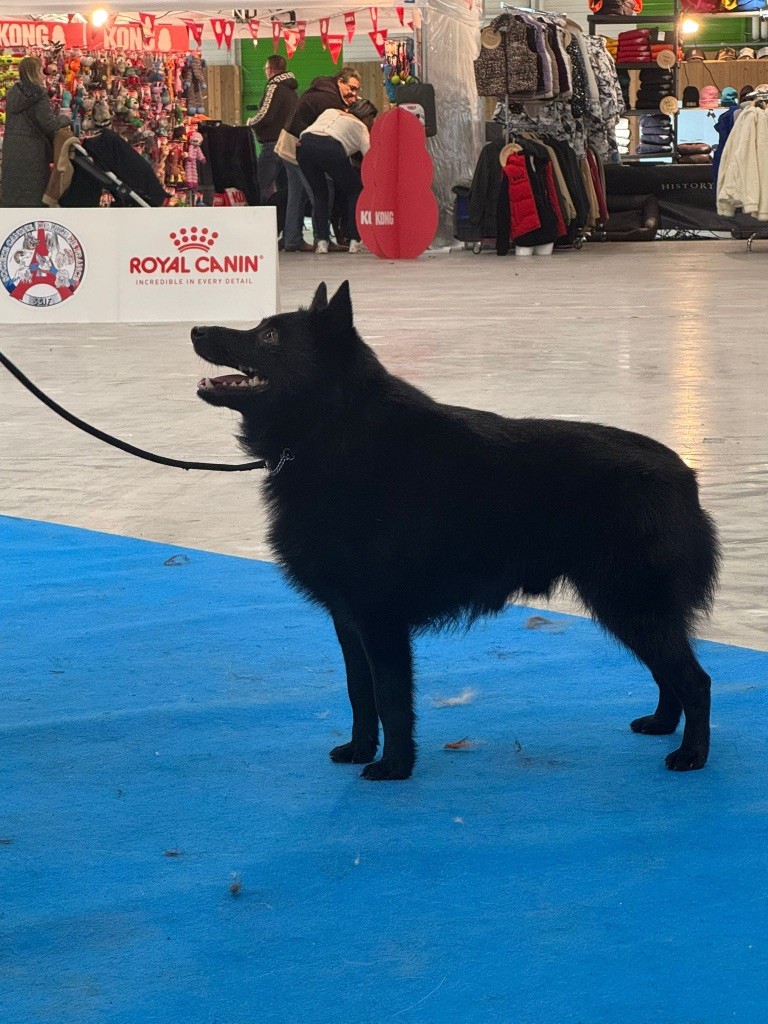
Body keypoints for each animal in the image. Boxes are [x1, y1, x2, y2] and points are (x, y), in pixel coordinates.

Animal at [192, 281, 720, 782]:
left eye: (269, 336)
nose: (196, 330)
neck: (331, 428)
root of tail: (684, 474)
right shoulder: (348, 619)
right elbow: (360, 694)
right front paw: (360, 750)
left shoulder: (380, 620)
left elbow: (390, 700)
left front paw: (394, 768)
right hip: (631, 610)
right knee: (668, 674)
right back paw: (661, 725)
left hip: (631, 605)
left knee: (695, 681)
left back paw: (691, 754)